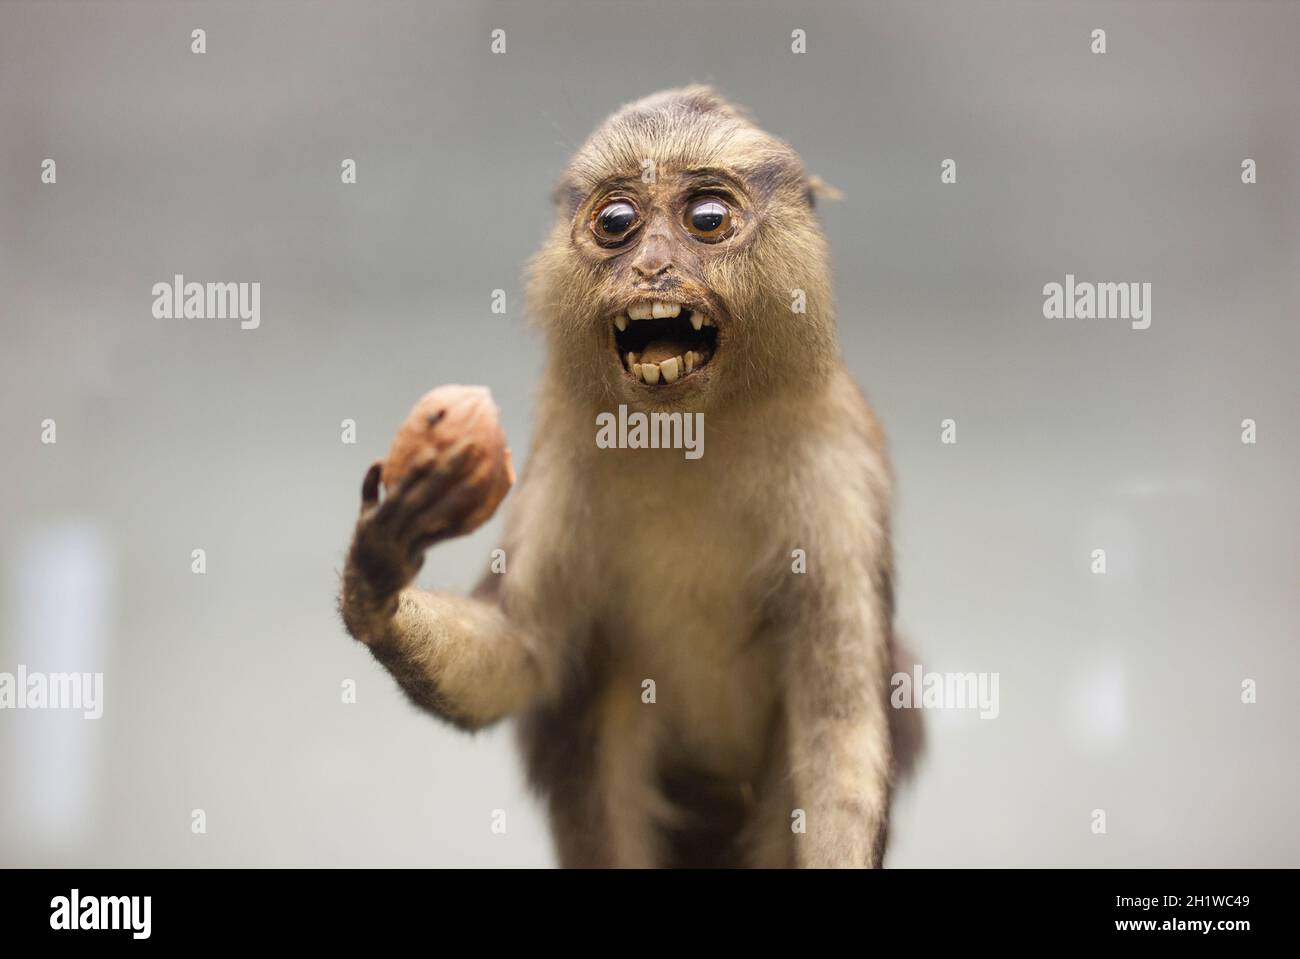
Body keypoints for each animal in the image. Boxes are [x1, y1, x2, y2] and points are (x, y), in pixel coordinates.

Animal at [339, 86, 920, 868]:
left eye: (707, 219)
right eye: (617, 222)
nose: (650, 270)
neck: (690, 433)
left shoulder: (841, 456)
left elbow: (840, 725)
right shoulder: (563, 449)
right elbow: (523, 657)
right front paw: (377, 572)